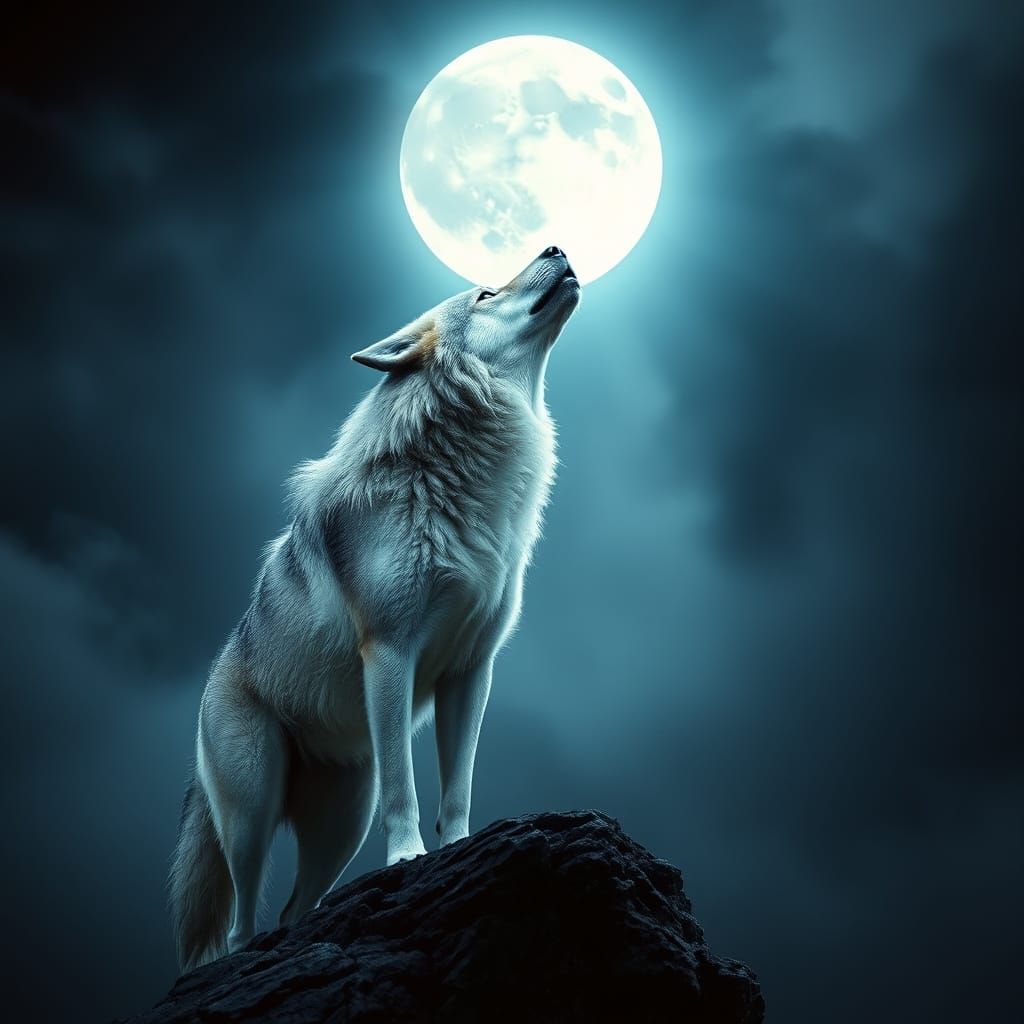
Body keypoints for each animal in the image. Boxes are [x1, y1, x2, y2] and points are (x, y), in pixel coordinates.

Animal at [168, 246, 580, 971]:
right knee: (242, 922)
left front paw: (458, 850)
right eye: (484, 292)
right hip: (253, 809)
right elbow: (405, 788)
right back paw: (249, 956)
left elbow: (457, 787)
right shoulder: (389, 653)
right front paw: (409, 858)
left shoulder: (471, 671)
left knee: (294, 908)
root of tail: (217, 673)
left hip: (340, 825)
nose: (557, 246)